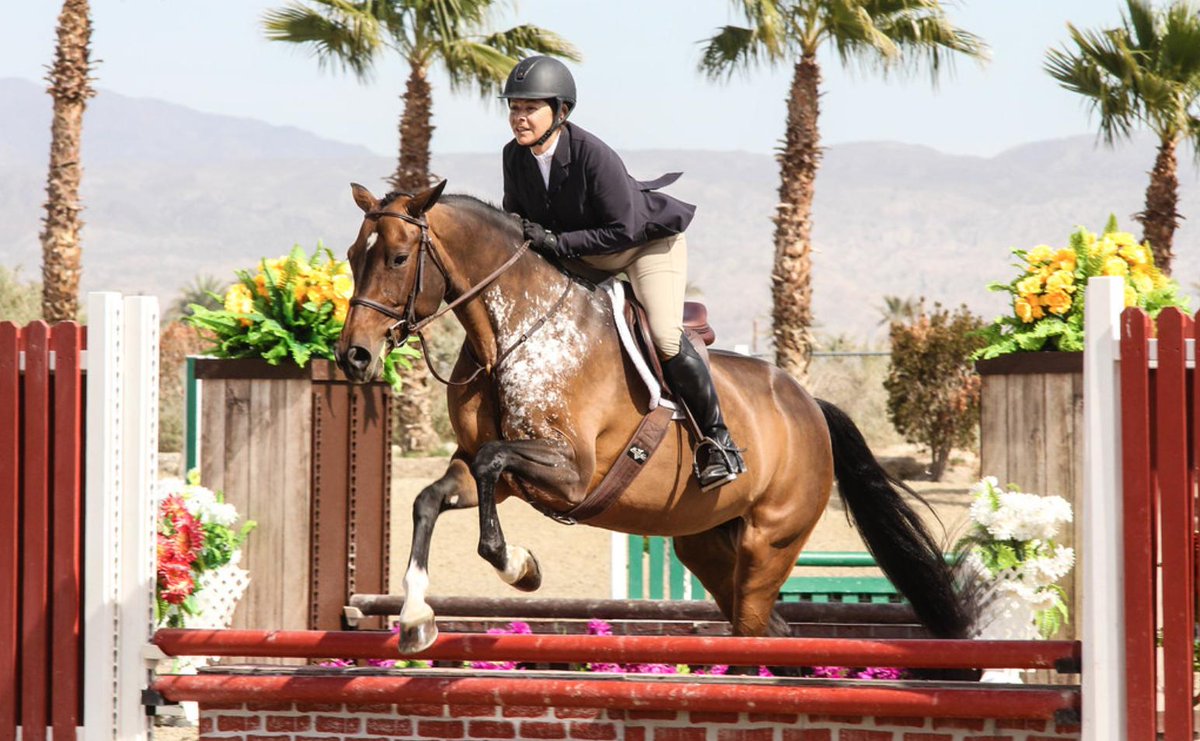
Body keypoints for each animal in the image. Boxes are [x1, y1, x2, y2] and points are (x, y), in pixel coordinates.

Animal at [336, 179, 975, 655]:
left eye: (397, 258)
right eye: (350, 256)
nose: (353, 357)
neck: (512, 332)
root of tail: (810, 407)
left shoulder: (571, 472)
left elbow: (495, 469)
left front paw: (521, 567)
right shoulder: (485, 469)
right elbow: (431, 498)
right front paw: (416, 619)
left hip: (770, 542)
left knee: (755, 632)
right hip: (707, 545)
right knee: (768, 628)